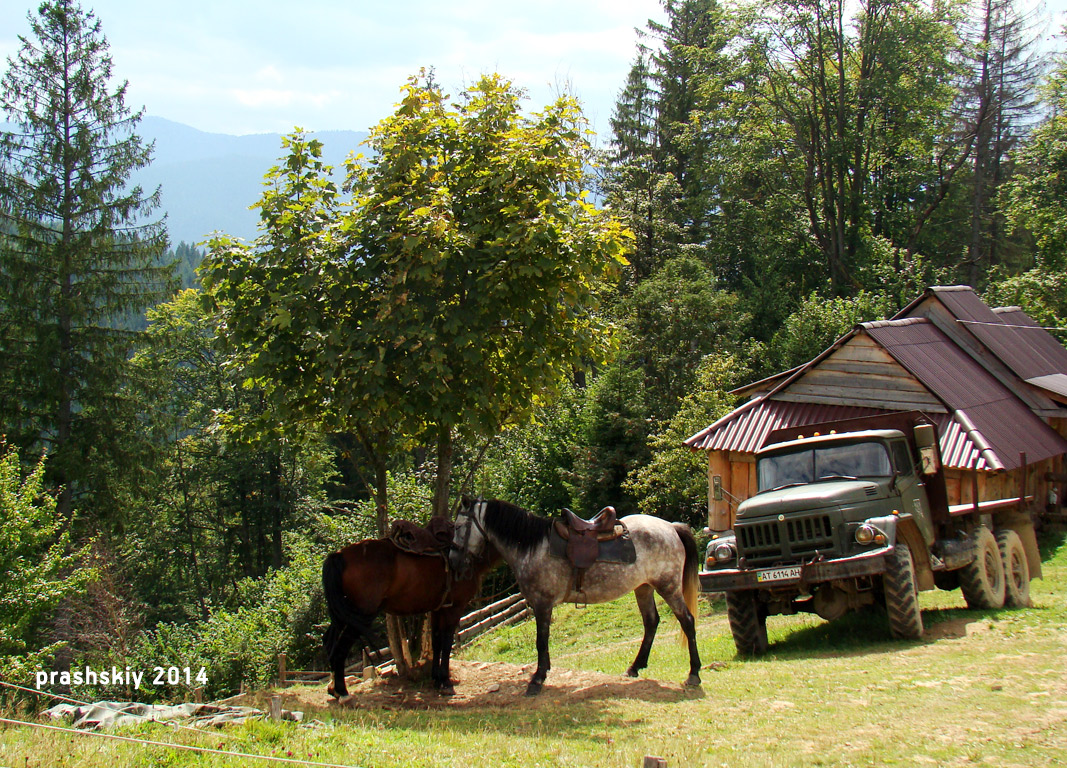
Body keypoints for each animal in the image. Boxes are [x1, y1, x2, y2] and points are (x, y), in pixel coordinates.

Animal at [320, 533, 499, 695]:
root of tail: (339, 555)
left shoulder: (438, 609)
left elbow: (436, 642)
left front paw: (436, 679)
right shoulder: (454, 609)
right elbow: (447, 643)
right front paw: (445, 682)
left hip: (343, 614)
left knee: (329, 642)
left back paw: (333, 689)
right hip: (360, 616)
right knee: (340, 649)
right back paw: (342, 692)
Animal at [448, 497, 704, 695]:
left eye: (459, 527)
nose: (454, 562)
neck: (532, 548)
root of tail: (671, 527)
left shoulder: (542, 603)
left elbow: (541, 641)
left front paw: (537, 679)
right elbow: (544, 641)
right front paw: (544, 671)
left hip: (668, 586)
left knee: (687, 621)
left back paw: (693, 673)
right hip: (643, 588)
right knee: (651, 622)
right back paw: (635, 667)